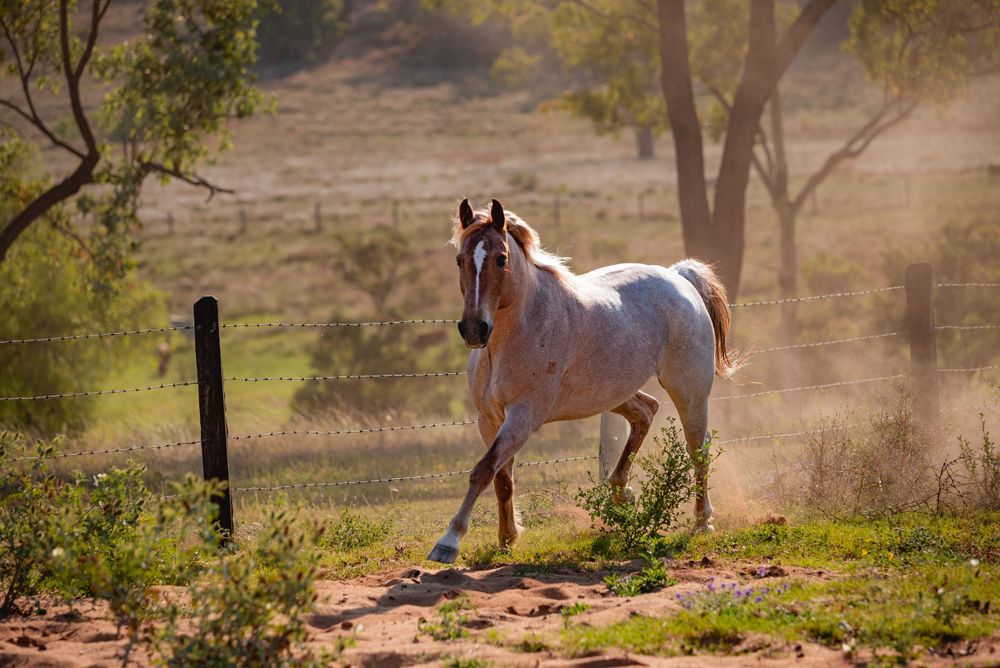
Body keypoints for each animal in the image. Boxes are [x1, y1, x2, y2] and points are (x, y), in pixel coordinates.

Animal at [427, 198, 737, 564]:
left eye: (501, 258)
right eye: (459, 259)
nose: (475, 330)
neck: (511, 336)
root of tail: (679, 277)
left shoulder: (522, 417)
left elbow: (483, 470)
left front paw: (448, 542)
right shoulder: (489, 419)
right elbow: (501, 479)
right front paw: (506, 540)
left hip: (689, 391)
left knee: (697, 448)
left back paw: (702, 521)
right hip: (612, 392)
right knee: (646, 411)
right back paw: (622, 494)